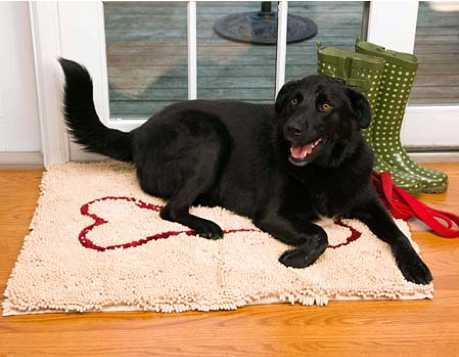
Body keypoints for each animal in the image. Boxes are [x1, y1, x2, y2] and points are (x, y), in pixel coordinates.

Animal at [60, 57, 432, 284]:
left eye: (326, 105)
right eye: (294, 101)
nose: (291, 129)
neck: (324, 168)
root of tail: (138, 132)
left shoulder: (370, 204)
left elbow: (398, 232)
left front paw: (416, 264)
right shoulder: (271, 215)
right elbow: (321, 235)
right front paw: (296, 258)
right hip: (210, 137)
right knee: (170, 209)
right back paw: (208, 224)